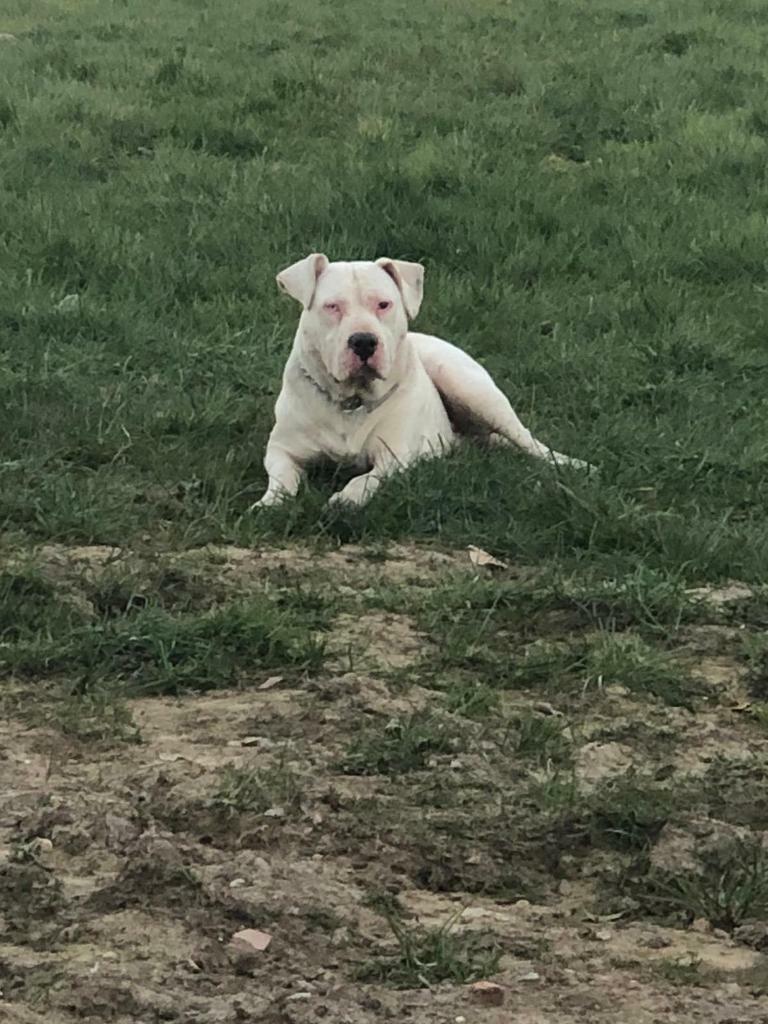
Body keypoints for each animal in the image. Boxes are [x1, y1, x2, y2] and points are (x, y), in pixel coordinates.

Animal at [253, 254, 589, 509]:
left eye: (384, 304)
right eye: (332, 306)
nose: (364, 341)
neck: (351, 400)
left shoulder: (394, 456)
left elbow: (366, 478)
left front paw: (348, 497)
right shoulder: (282, 449)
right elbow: (281, 477)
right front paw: (269, 503)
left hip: (468, 386)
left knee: (529, 441)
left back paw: (574, 465)